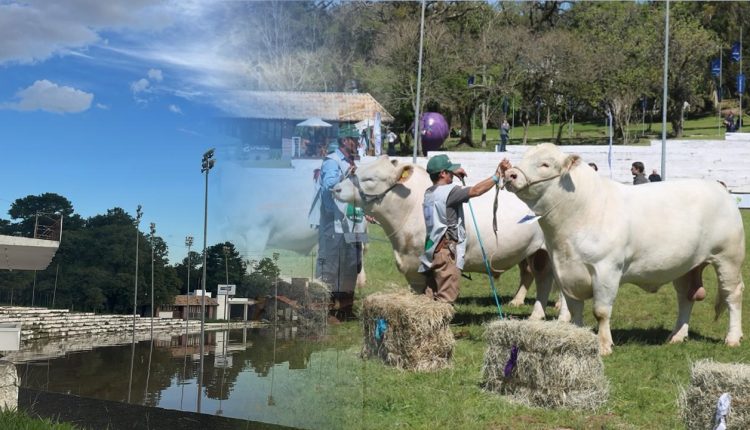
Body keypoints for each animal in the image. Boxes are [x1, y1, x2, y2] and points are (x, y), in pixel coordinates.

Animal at [334, 155, 568, 320]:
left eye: (370, 178)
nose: (335, 188)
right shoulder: (411, 266)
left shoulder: (420, 263)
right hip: (538, 252)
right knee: (543, 277)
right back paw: (535, 315)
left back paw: (562, 317)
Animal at [506, 143, 748, 354]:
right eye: (523, 157)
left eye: (545, 164)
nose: (510, 174)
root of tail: (718, 186)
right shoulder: (564, 270)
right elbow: (575, 310)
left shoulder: (606, 269)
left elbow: (601, 311)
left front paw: (604, 346)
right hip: (686, 265)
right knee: (686, 297)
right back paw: (676, 336)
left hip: (728, 258)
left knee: (732, 295)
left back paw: (732, 338)